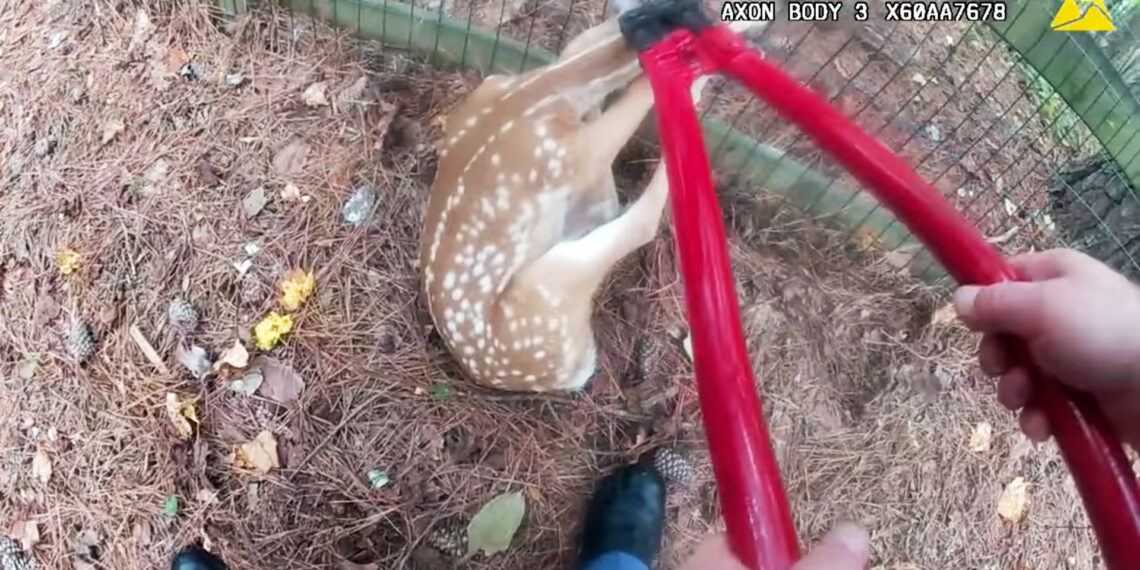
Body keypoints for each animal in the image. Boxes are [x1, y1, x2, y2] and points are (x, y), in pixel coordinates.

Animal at [419, 16, 755, 392]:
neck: (535, 93)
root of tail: (569, 370)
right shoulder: (570, 154)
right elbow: (638, 94)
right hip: (548, 288)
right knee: (639, 223)